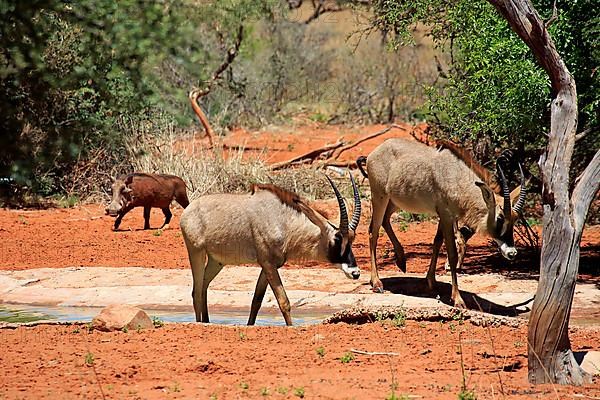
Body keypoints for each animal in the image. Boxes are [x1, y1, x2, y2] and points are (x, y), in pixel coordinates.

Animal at [179, 173, 360, 326]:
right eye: (337, 239)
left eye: (352, 239)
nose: (355, 273)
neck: (283, 221)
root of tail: (188, 210)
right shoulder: (267, 263)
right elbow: (283, 301)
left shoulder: (270, 265)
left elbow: (257, 301)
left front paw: (250, 325)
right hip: (196, 252)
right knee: (196, 291)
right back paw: (199, 324)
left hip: (216, 262)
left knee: (203, 288)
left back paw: (206, 321)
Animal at [356, 139, 524, 308]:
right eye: (500, 218)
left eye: (515, 219)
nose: (512, 253)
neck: (456, 176)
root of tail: (374, 153)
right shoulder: (446, 215)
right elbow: (452, 253)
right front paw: (458, 299)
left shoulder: (444, 216)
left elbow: (437, 242)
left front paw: (431, 281)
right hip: (380, 197)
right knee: (373, 232)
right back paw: (376, 282)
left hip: (395, 201)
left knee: (385, 220)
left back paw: (401, 260)